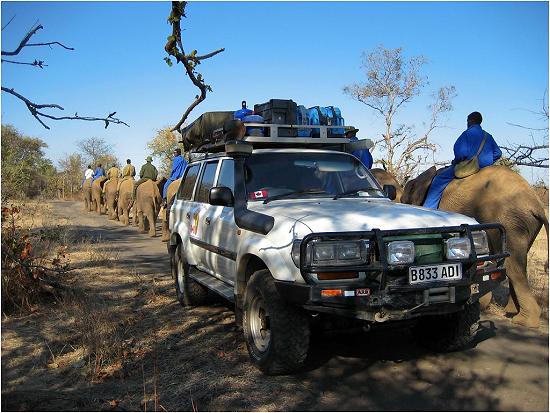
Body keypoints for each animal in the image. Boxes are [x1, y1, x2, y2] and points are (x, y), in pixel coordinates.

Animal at [396, 165, 550, 328]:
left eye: (404, 200)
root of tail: (537, 206)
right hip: (523, 224)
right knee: (518, 262)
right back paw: (512, 313)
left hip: (509, 221)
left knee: (511, 266)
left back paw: (523, 321)